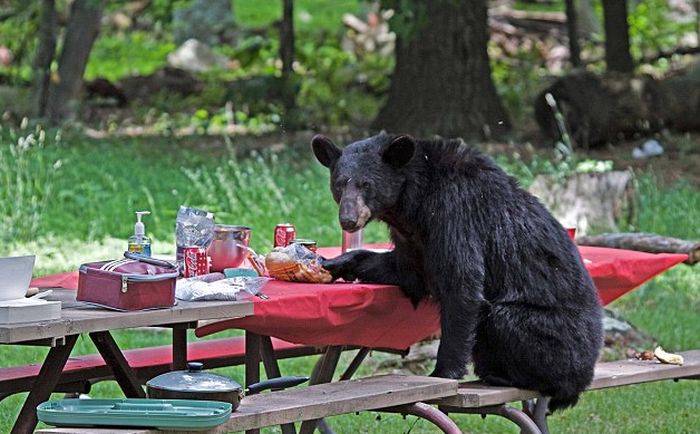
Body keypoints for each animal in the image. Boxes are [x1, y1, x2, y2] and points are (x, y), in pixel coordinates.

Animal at [312, 132, 600, 410]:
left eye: (366, 184)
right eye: (340, 184)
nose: (348, 220)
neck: (413, 200)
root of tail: (587, 374)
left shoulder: (455, 212)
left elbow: (462, 283)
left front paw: (442, 374)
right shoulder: (413, 237)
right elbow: (406, 271)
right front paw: (336, 262)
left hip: (557, 340)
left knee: (504, 319)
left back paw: (503, 375)